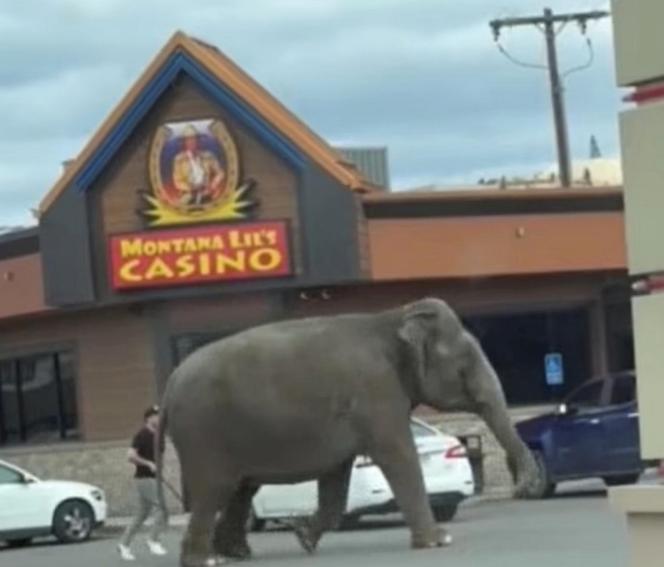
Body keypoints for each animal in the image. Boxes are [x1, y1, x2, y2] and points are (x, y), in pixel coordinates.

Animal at [158, 300, 544, 564]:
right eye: (464, 365)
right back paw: (205, 559)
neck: (394, 317)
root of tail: (169, 386)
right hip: (203, 434)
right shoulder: (377, 390)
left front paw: (303, 537)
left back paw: (235, 553)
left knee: (241, 489)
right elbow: (398, 455)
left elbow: (336, 477)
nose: (522, 488)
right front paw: (439, 541)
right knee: (216, 489)